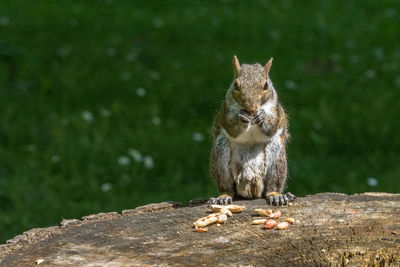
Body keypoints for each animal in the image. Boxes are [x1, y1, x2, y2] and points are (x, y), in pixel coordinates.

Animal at [209, 56, 294, 207]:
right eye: (236, 85)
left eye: (265, 85)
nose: (251, 108)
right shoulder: (227, 113)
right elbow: (232, 128)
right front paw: (241, 118)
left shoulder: (275, 111)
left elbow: (271, 127)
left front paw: (262, 117)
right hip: (220, 155)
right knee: (227, 187)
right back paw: (224, 196)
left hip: (276, 158)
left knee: (272, 185)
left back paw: (276, 195)